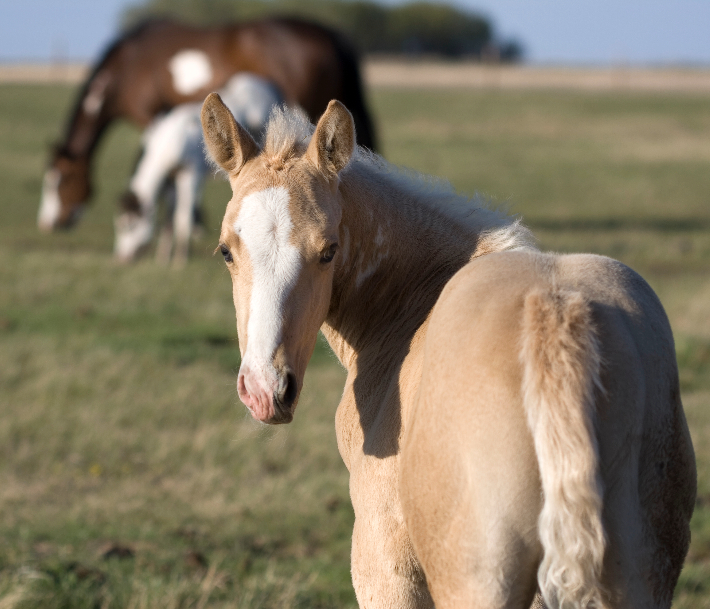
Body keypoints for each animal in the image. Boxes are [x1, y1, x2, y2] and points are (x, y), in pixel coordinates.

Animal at [114, 73, 283, 266]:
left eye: (129, 225)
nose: (120, 258)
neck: (172, 140)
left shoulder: (190, 173)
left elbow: (182, 218)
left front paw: (180, 260)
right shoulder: (172, 178)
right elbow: (169, 218)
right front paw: (163, 258)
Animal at [200, 94, 696, 609]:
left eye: (328, 251)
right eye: (226, 251)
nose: (266, 390)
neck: (413, 303)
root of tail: (554, 318)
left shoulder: (384, 567)